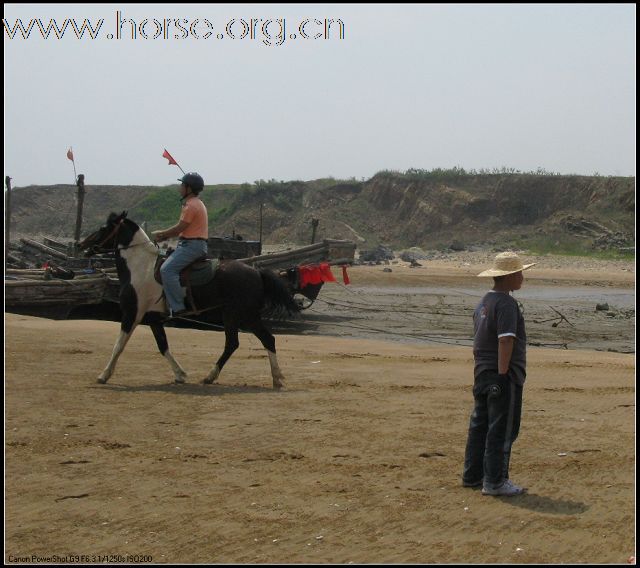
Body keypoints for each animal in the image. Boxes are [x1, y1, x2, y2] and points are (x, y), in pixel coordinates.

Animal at [79, 211, 298, 388]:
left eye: (103, 228)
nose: (82, 245)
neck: (140, 268)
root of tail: (256, 272)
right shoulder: (153, 319)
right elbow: (163, 346)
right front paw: (180, 374)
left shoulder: (132, 314)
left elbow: (119, 345)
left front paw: (104, 375)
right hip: (243, 316)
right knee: (261, 340)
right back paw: (275, 378)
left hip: (239, 314)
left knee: (238, 342)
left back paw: (213, 376)